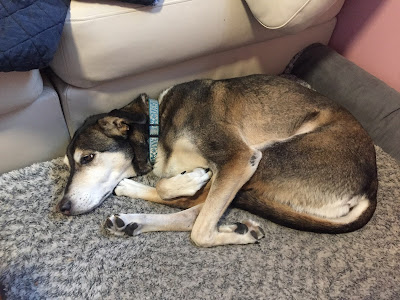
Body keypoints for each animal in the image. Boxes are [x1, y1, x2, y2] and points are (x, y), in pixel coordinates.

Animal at [57, 74, 376, 246]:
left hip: (270, 156)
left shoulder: (238, 158)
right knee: (194, 210)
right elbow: (169, 186)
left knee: (196, 221)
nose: (62, 207)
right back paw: (130, 213)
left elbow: (176, 196)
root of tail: (370, 189)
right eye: (68, 165)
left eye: (87, 158)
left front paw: (190, 179)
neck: (159, 126)